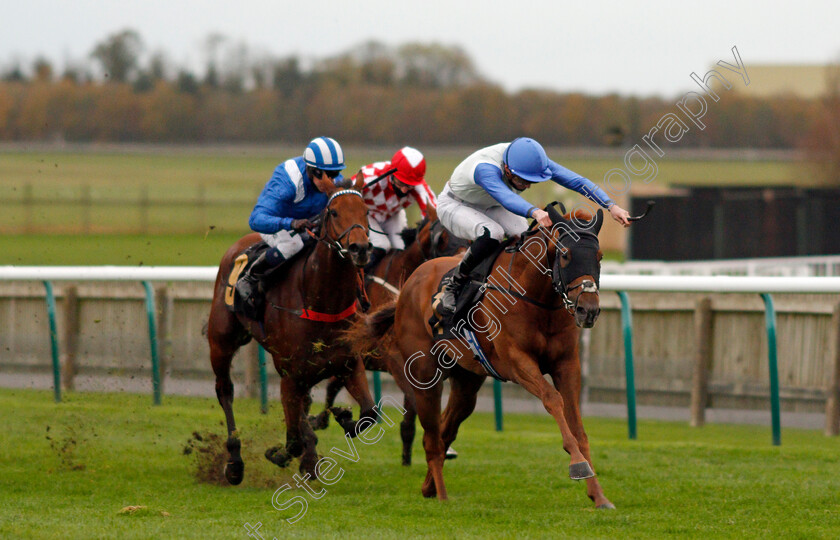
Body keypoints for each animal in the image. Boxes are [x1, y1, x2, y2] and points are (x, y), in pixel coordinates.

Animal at [205, 177, 376, 486]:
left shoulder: (349, 362)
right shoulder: (289, 373)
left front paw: (343, 417)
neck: (322, 301)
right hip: (221, 342)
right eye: (334, 212)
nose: (360, 248)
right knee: (225, 391)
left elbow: (369, 413)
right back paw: (234, 462)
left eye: (366, 211)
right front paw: (286, 453)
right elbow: (295, 437)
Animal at [348, 205, 616, 508]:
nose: (588, 310)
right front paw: (578, 465)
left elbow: (578, 426)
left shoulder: (566, 364)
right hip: (424, 374)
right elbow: (552, 399)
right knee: (431, 437)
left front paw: (599, 495)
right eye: (566, 254)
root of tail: (410, 283)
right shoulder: (517, 362)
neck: (537, 297)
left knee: (445, 429)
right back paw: (441, 494)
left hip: (467, 380)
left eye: (599, 256)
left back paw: (429, 487)